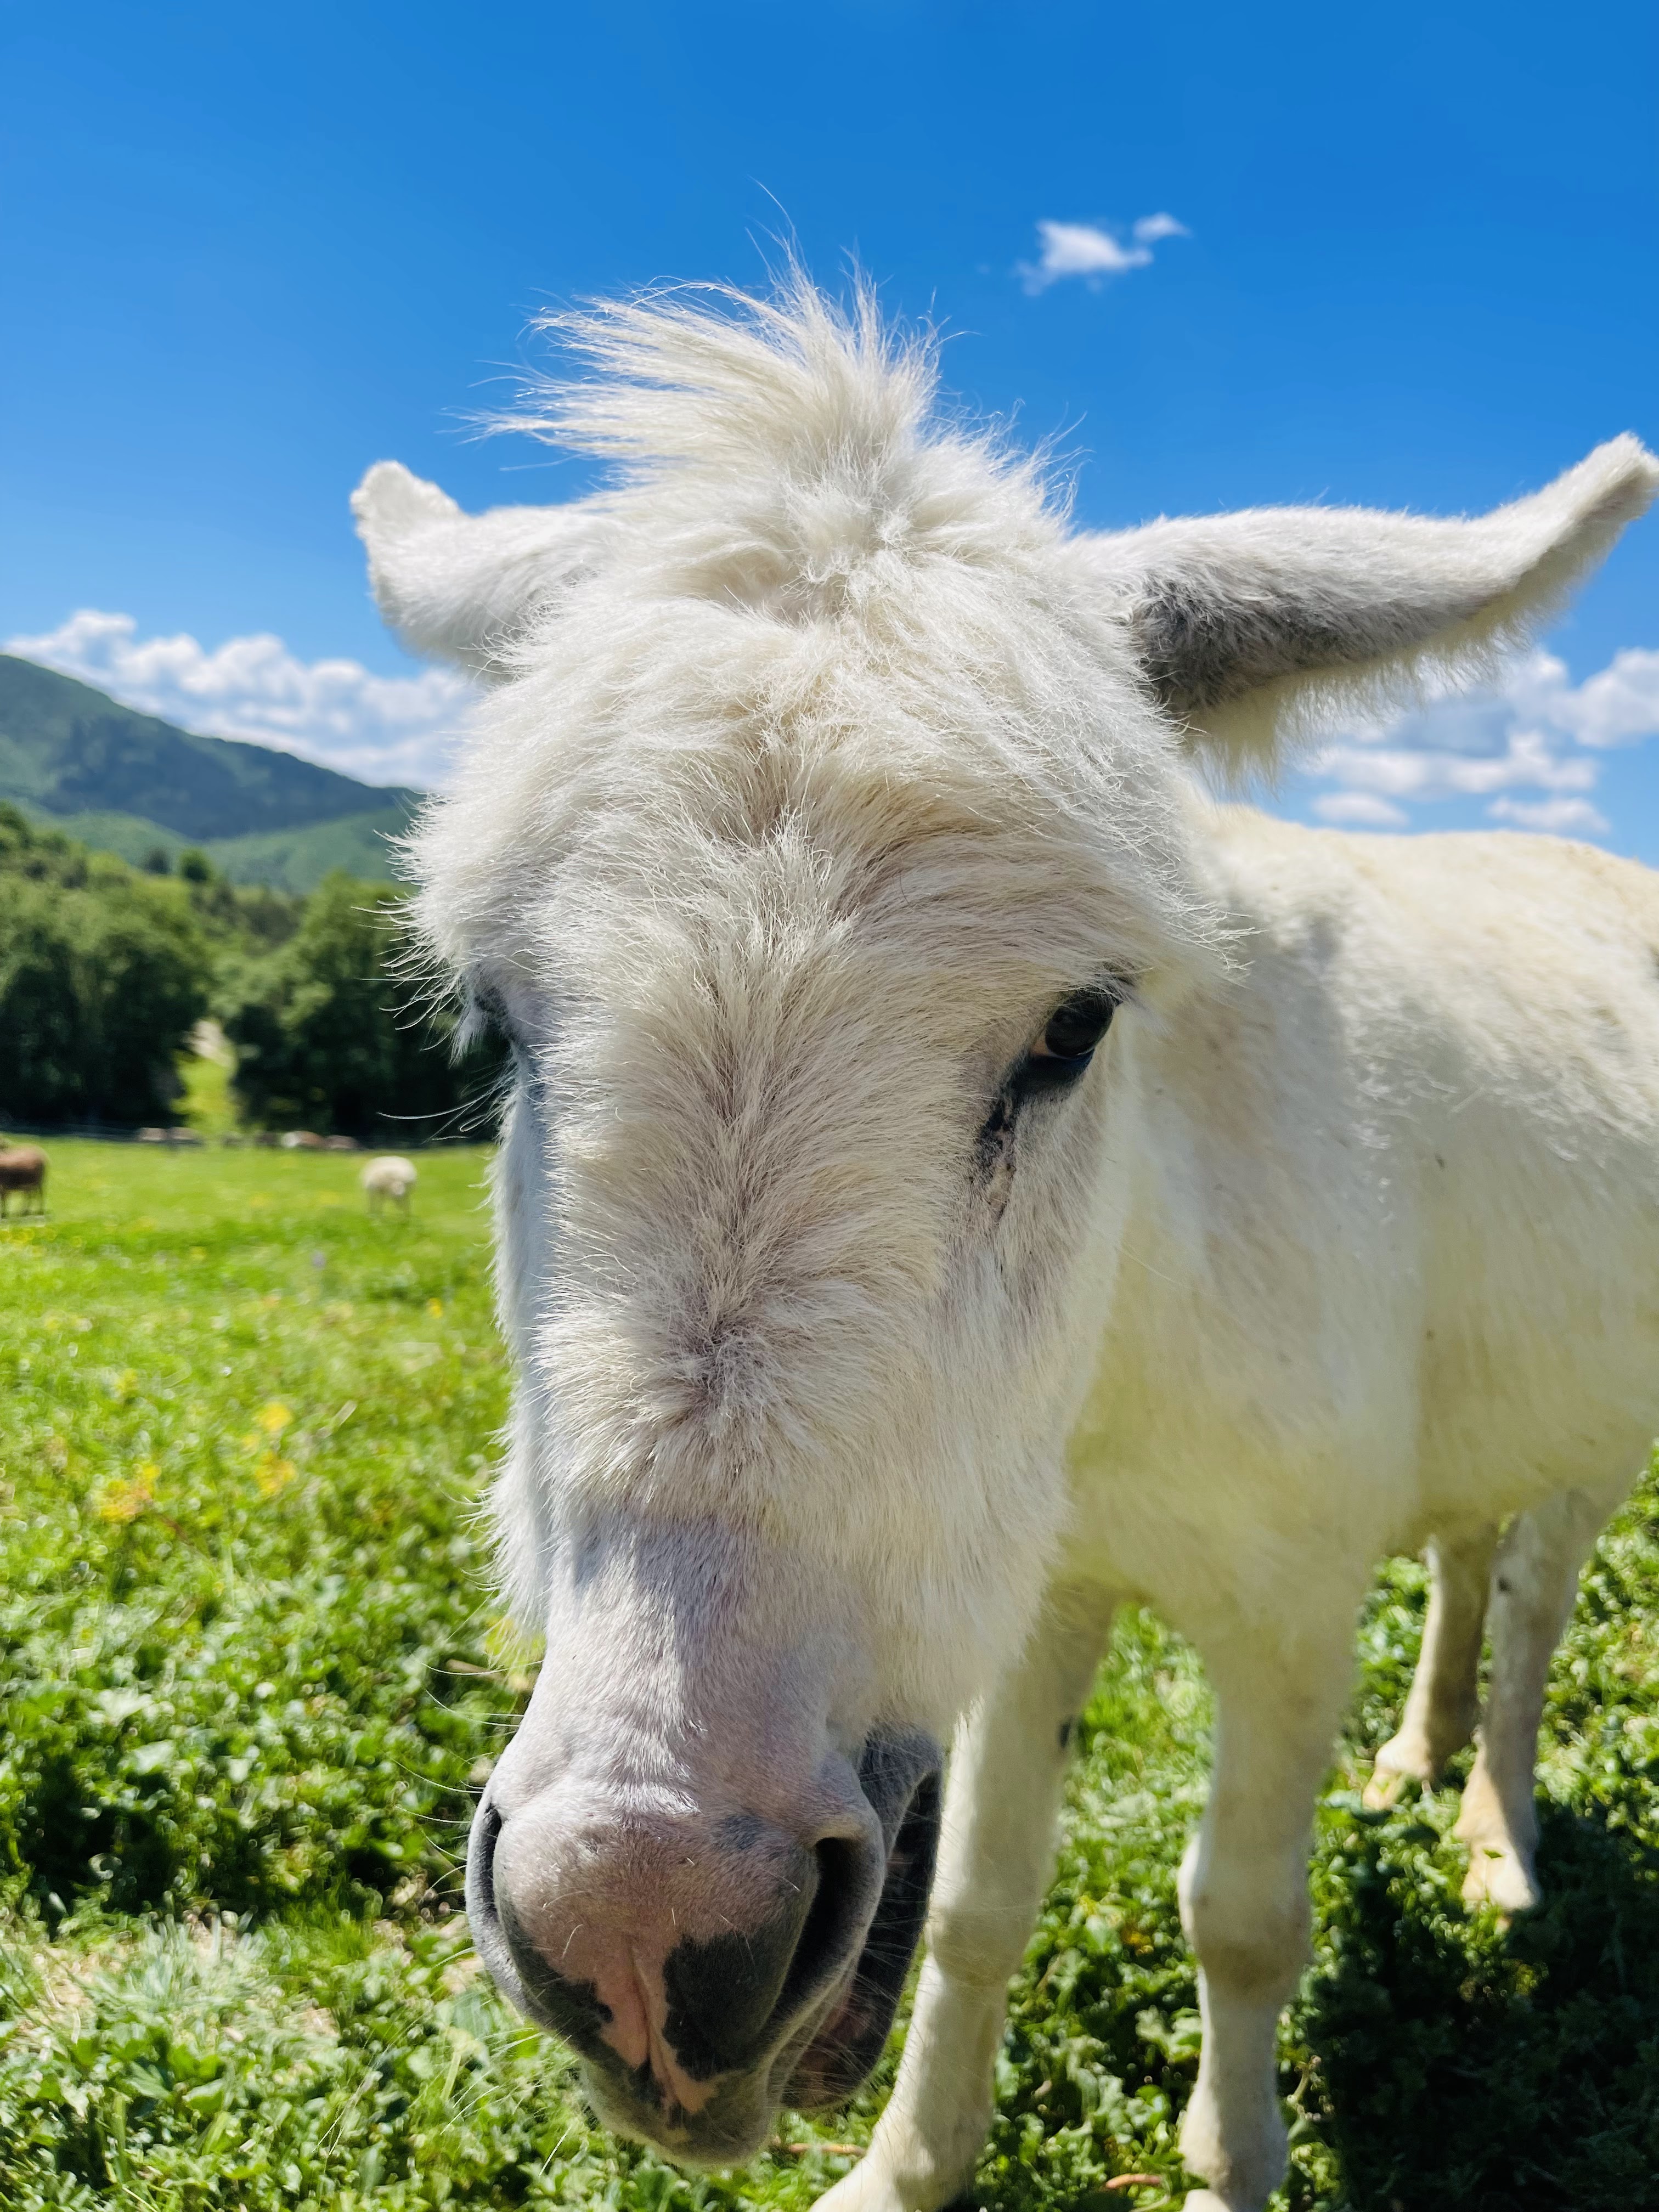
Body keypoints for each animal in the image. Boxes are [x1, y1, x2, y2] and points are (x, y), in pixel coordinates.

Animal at [0, 1146, 47, 1218]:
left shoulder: (4, 1187)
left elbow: (4, 1200)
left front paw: (4, 1214)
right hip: (32, 1185)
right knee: (32, 1196)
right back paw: (27, 1211)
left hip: (38, 1182)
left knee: (39, 1195)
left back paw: (39, 1211)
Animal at [353, 279, 1659, 2211]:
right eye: (497, 1025)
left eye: (1072, 1032)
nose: (643, 1934)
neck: (1118, 1362)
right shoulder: (1035, 1591)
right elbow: (976, 1902)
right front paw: (905, 2173)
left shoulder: (1288, 1607)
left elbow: (1241, 1920)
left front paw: (1236, 2166)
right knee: (1466, 1552)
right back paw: (1414, 1762)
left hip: (1590, 1435)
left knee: (1530, 1612)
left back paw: (1495, 1834)